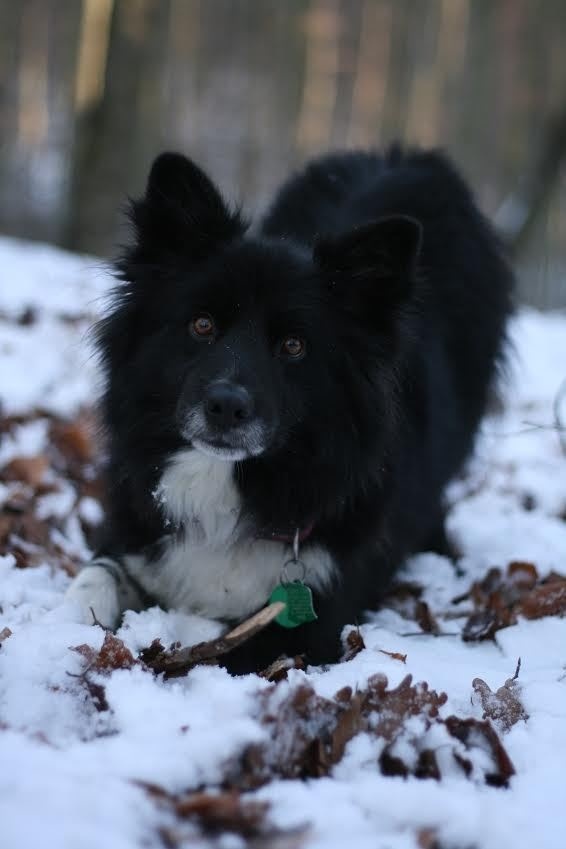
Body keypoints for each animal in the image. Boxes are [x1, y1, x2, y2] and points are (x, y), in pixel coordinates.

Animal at [66, 147, 516, 676]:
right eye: (202, 325)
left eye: (294, 346)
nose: (225, 406)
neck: (229, 484)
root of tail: (410, 158)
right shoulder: (138, 532)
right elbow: (94, 579)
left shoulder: (313, 618)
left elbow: (217, 653)